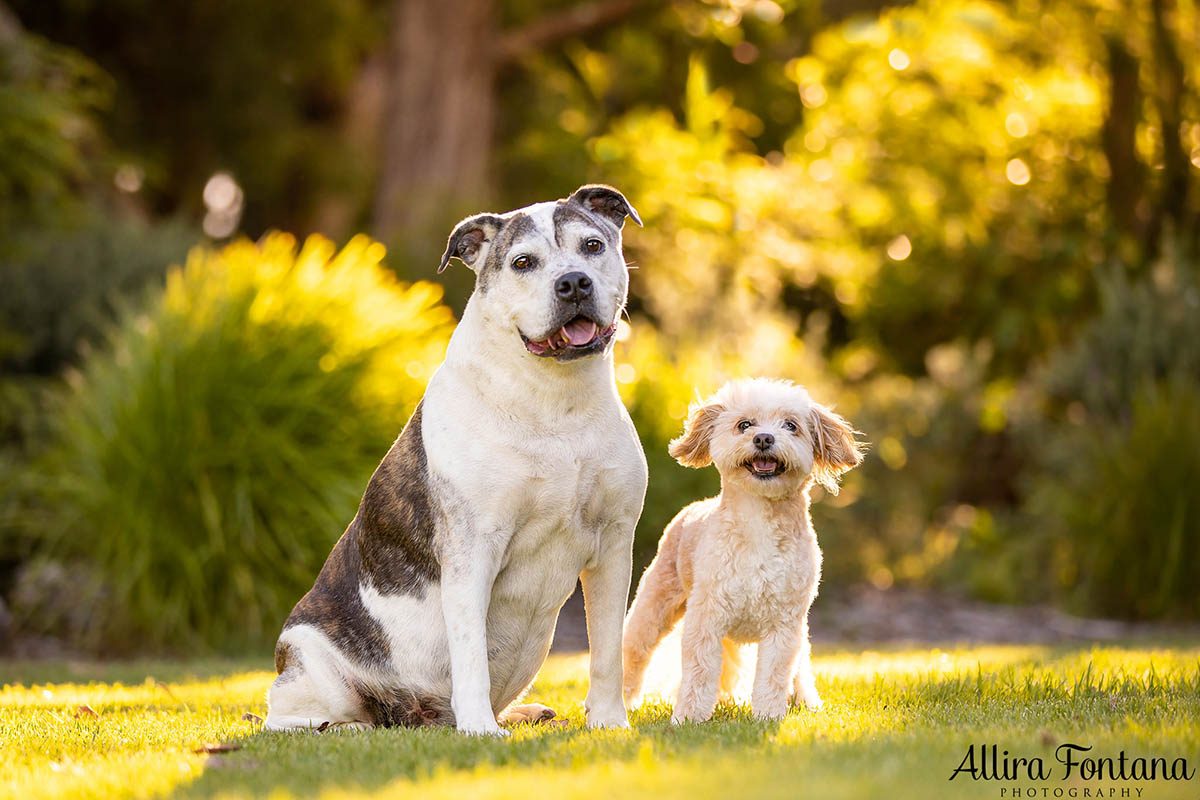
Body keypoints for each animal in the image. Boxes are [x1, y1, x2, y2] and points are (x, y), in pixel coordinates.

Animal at [266, 184, 648, 734]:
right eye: (523, 262)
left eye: (593, 246)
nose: (573, 282)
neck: (555, 398)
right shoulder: (472, 552)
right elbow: (469, 653)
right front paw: (481, 730)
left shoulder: (614, 548)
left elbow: (608, 650)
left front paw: (610, 721)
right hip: (309, 661)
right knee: (294, 718)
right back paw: (351, 726)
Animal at [619, 379, 864, 724]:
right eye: (744, 425)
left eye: (791, 425)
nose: (763, 438)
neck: (758, 522)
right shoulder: (706, 617)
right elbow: (699, 671)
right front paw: (689, 717)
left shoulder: (784, 623)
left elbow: (775, 673)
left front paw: (769, 715)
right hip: (654, 606)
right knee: (636, 651)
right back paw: (624, 701)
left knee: (800, 667)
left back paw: (806, 700)